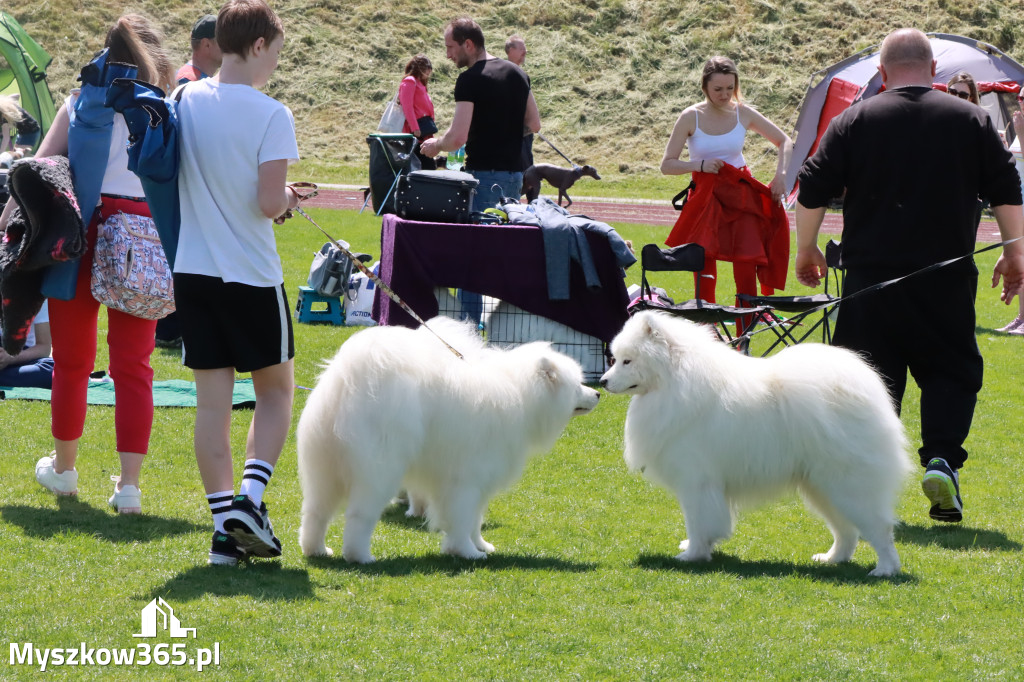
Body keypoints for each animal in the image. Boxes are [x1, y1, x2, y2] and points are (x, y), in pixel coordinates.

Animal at [296, 315, 598, 561]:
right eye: (577, 386)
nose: (597, 393)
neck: (520, 395)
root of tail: (347, 381)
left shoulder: (479, 483)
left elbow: (475, 519)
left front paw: (481, 546)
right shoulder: (465, 481)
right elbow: (462, 521)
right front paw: (467, 552)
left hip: (323, 470)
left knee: (315, 513)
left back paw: (317, 550)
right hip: (379, 473)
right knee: (359, 516)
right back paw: (359, 556)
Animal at [598, 311, 913, 573]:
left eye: (627, 361)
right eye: (614, 358)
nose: (601, 382)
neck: (673, 383)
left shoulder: (696, 482)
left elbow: (698, 522)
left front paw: (692, 555)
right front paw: (698, 548)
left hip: (848, 485)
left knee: (880, 529)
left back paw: (885, 569)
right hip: (822, 487)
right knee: (846, 531)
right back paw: (832, 559)